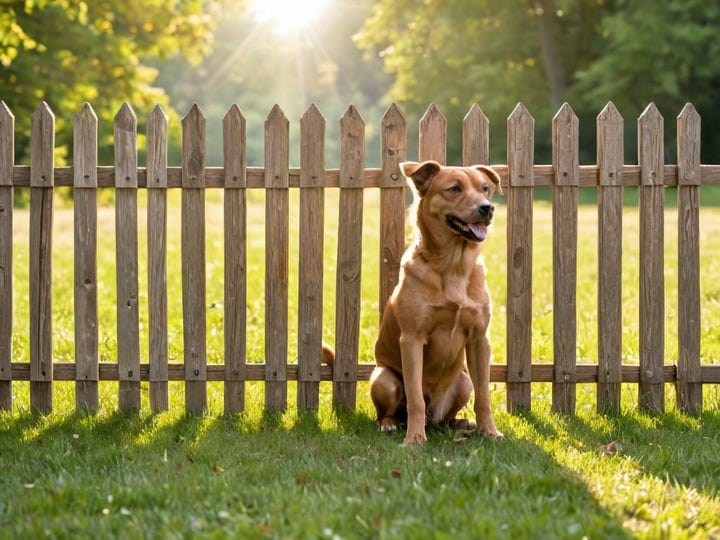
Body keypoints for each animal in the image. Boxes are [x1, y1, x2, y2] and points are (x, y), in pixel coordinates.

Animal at [368, 159, 504, 442]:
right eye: (454, 189)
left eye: (485, 188)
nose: (487, 208)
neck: (453, 265)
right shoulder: (412, 339)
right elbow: (415, 398)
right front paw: (414, 439)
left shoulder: (480, 339)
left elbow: (484, 396)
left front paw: (490, 431)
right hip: (383, 378)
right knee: (394, 410)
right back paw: (390, 424)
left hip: (463, 382)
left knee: (448, 415)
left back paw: (459, 423)